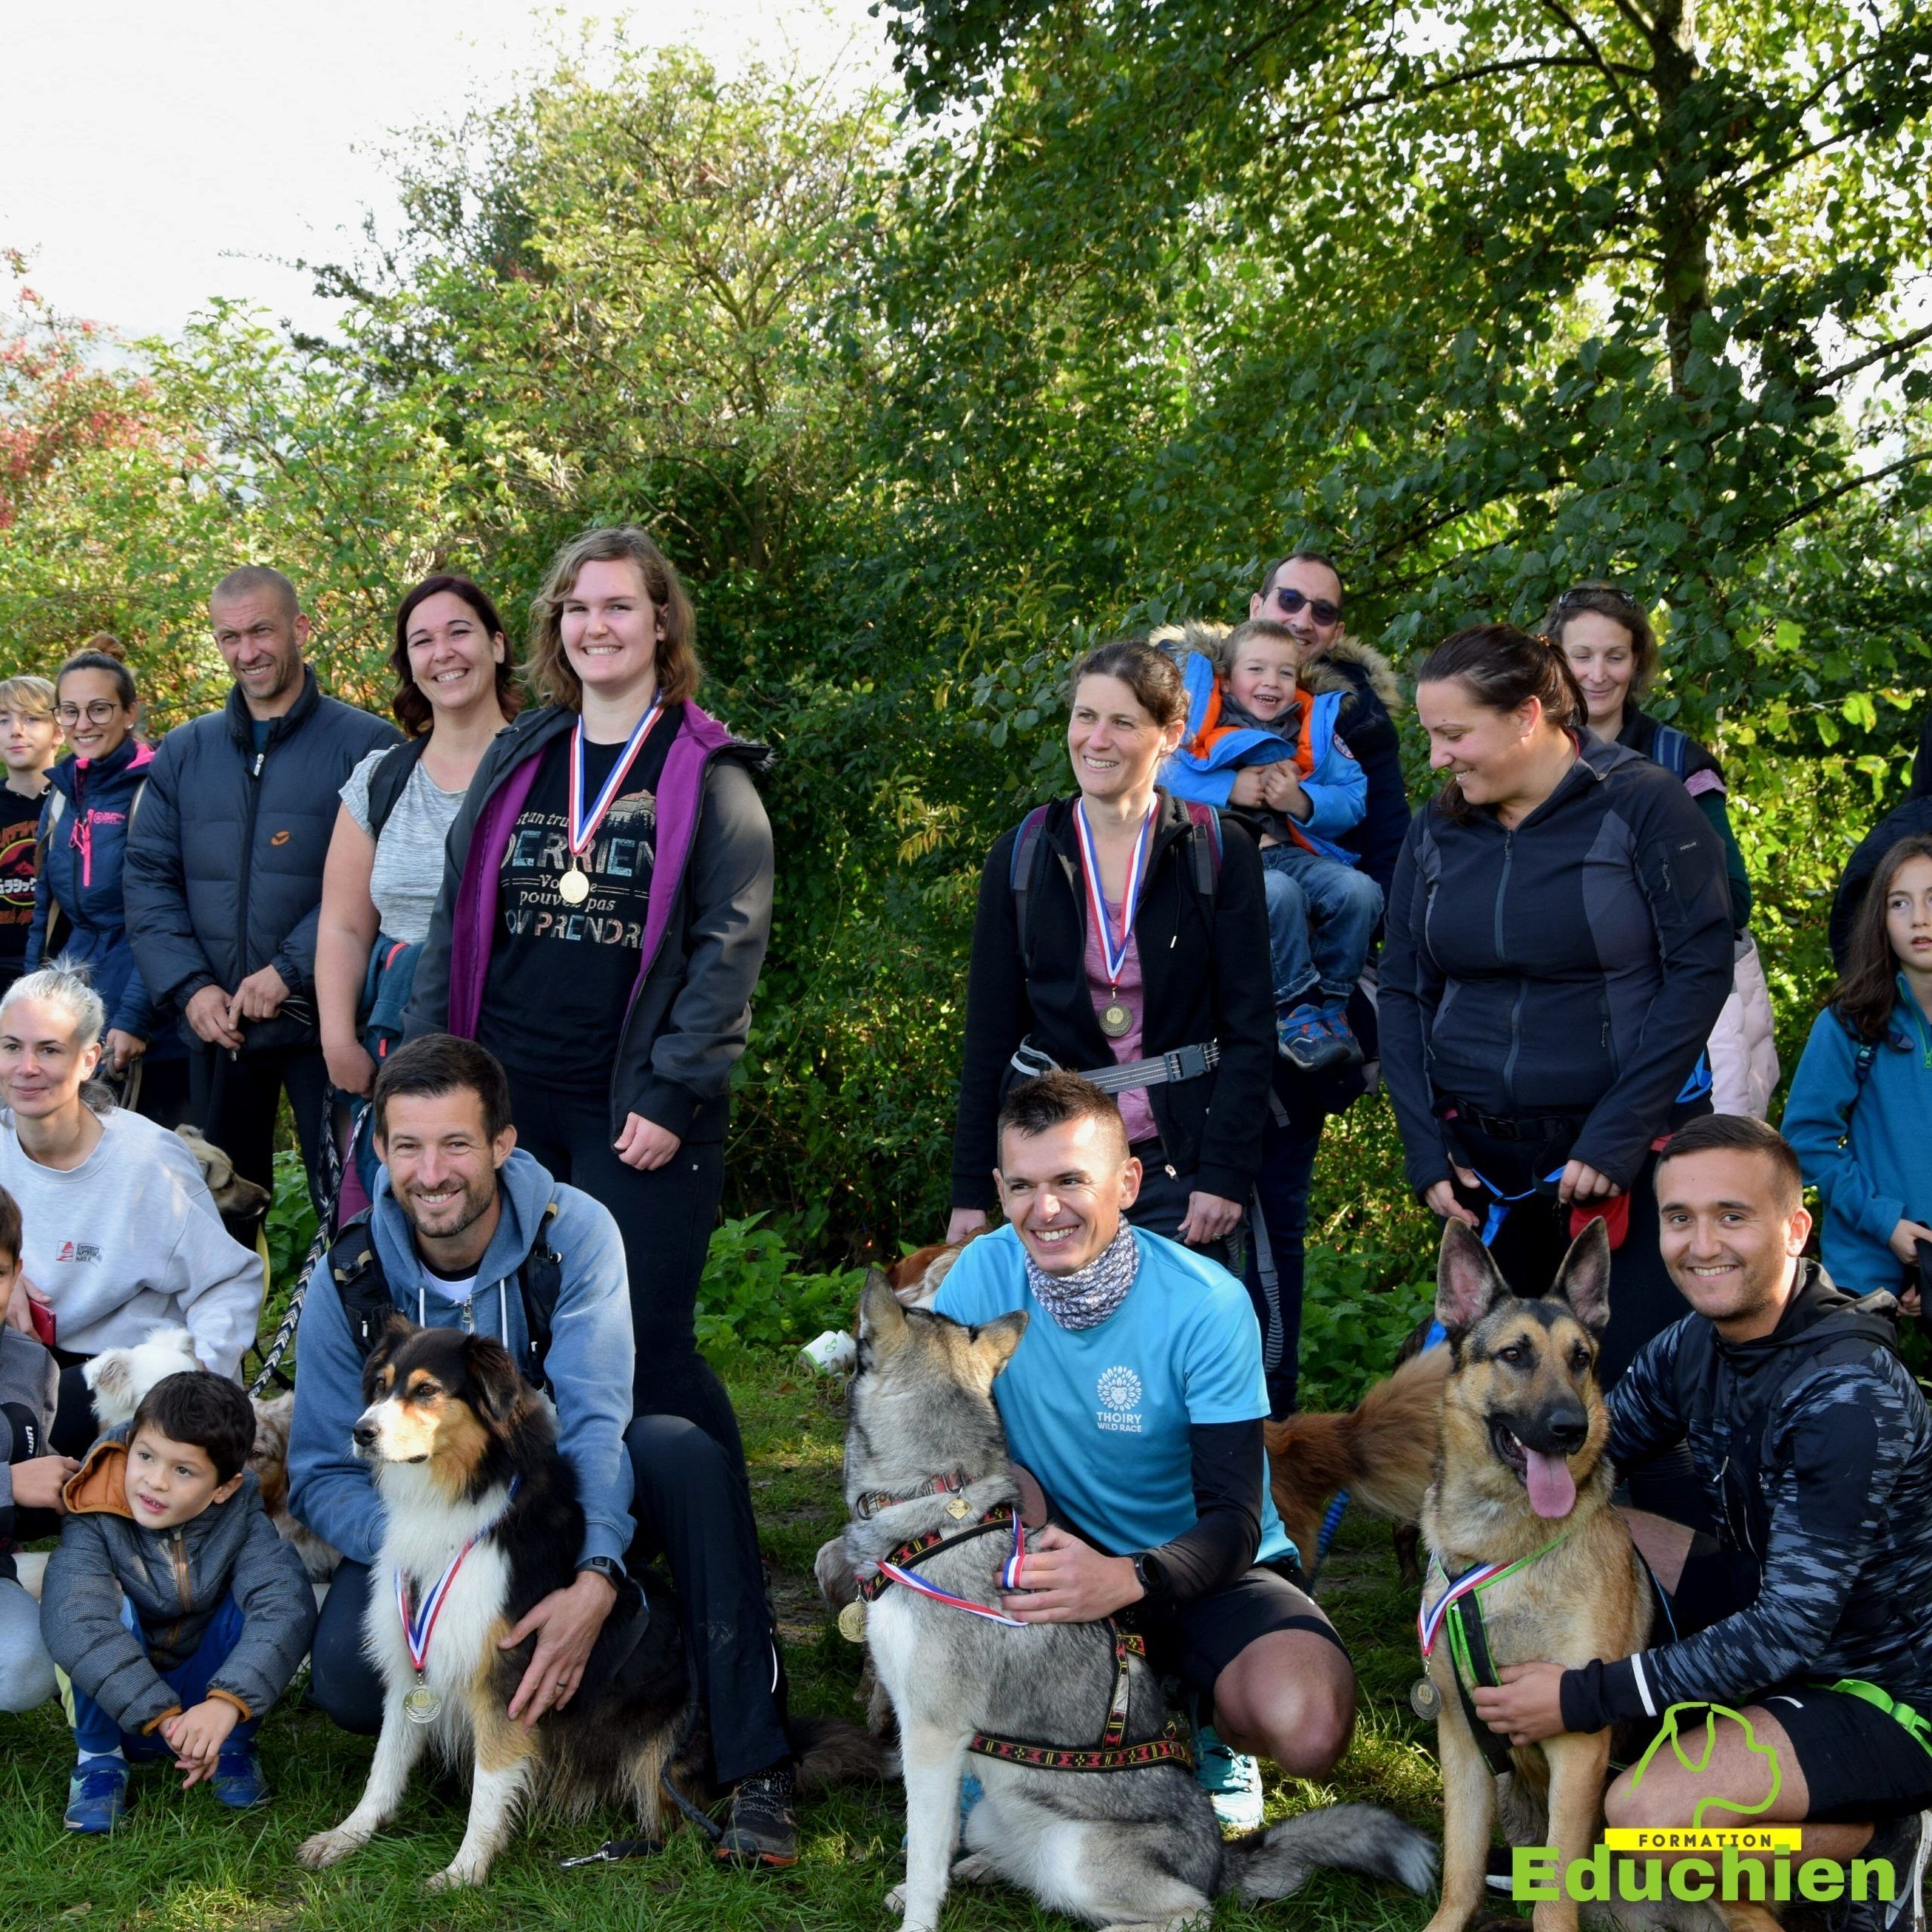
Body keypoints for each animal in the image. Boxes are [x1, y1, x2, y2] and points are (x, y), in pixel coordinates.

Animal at [846, 1275, 1437, 1924]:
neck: (937, 1503)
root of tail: (1220, 1861)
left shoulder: (931, 1733)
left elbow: (927, 1854)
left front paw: (917, 1918)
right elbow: (939, 1836)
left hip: (1074, 1856)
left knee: (1191, 1909)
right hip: (999, 1818)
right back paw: (985, 1866)